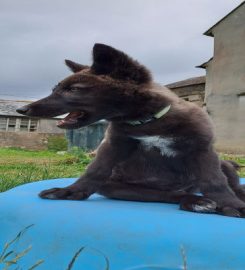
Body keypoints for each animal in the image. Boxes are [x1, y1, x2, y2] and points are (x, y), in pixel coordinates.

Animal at [16, 43, 245, 218]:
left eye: (74, 90)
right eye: (55, 90)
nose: (22, 110)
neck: (146, 121)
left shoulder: (202, 149)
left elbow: (215, 182)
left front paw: (231, 204)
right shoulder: (113, 145)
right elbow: (93, 171)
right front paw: (70, 192)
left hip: (224, 164)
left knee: (231, 184)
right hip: (116, 186)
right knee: (169, 195)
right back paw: (195, 201)